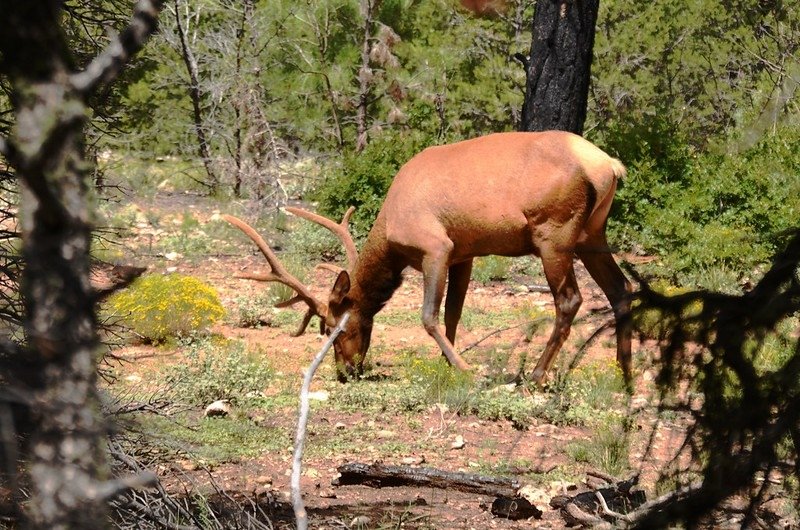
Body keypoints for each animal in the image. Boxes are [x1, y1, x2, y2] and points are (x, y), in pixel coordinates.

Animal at [225, 130, 632, 382]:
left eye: (333, 328)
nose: (346, 371)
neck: (390, 233)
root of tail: (610, 165)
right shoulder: (465, 253)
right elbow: (453, 313)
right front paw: (446, 362)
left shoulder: (436, 248)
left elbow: (428, 316)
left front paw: (465, 368)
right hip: (593, 235)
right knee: (621, 289)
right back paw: (623, 372)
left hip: (555, 235)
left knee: (570, 299)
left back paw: (535, 375)